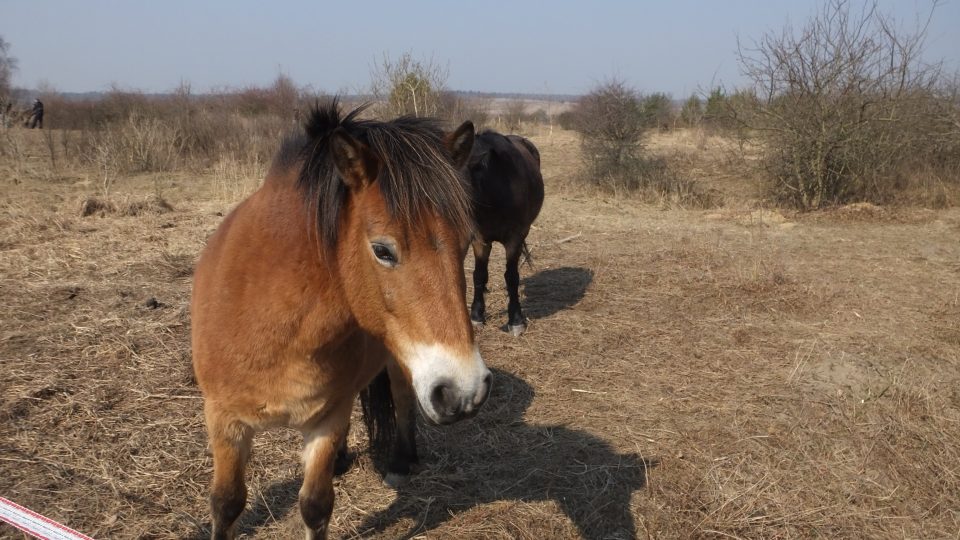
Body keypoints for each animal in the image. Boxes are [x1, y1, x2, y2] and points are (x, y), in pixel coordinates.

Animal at [191, 99, 492, 536]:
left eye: (467, 243)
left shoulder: (326, 419)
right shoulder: (225, 421)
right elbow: (227, 503)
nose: (466, 390)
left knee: (403, 399)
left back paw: (400, 461)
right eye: (382, 250)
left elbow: (316, 506)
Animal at [466, 129, 544, 336]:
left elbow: (511, 277)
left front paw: (516, 320)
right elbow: (479, 274)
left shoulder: (514, 240)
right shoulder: (480, 239)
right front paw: (476, 316)